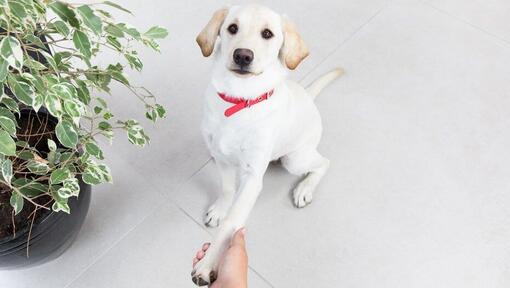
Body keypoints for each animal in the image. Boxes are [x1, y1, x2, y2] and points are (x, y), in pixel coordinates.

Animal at [191, 4, 342, 286]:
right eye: (232, 28)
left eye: (268, 34)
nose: (242, 55)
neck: (239, 100)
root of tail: (309, 96)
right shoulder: (221, 158)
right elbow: (226, 189)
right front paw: (219, 209)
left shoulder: (252, 178)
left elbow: (231, 223)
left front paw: (208, 263)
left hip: (295, 159)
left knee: (323, 162)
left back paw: (305, 188)